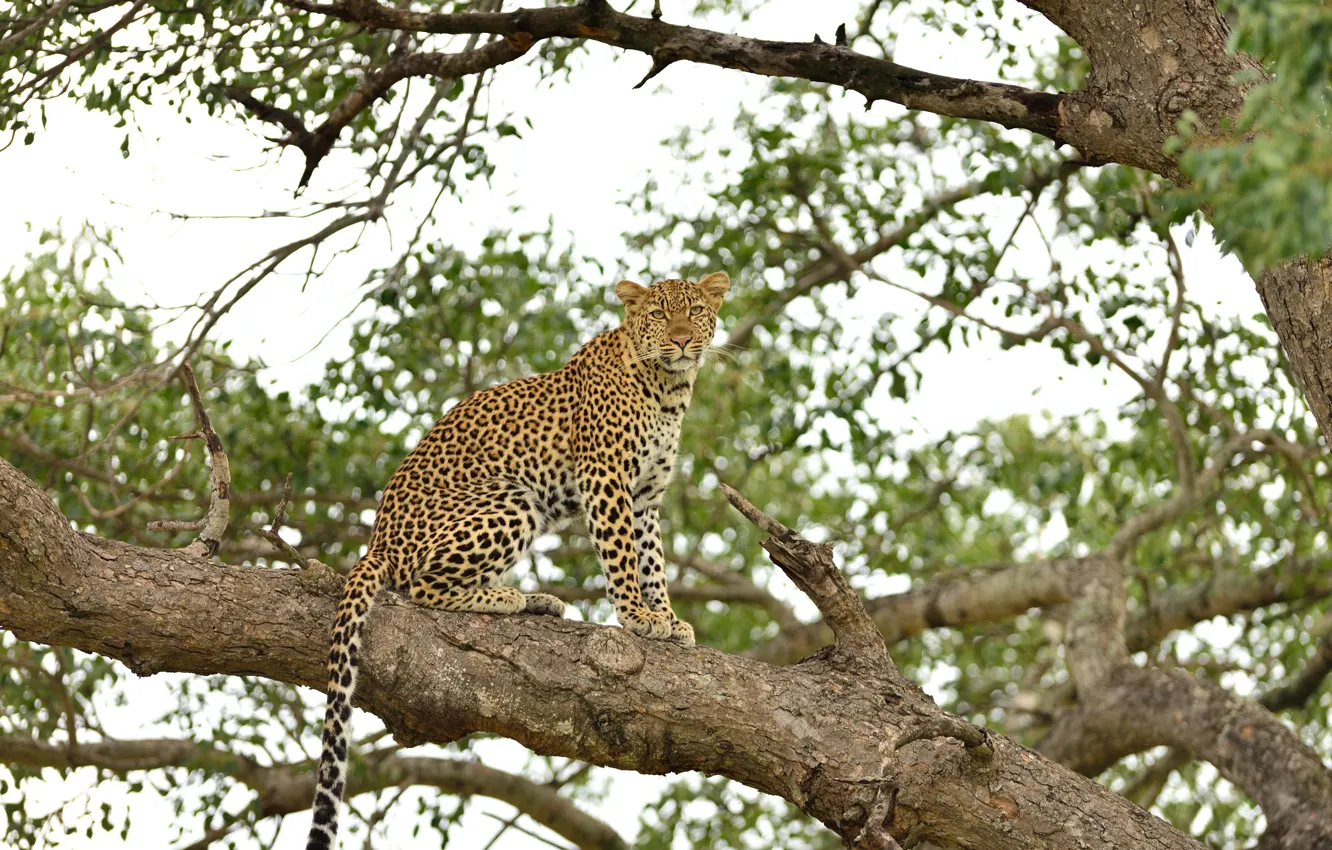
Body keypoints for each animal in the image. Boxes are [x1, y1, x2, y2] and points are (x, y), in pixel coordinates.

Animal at [305, 272, 731, 850]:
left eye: (695, 311)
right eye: (660, 315)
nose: (684, 340)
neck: (668, 388)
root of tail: (377, 542)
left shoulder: (646, 495)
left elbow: (652, 560)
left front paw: (666, 618)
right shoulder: (606, 479)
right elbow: (622, 556)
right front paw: (637, 617)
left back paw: (537, 602)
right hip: (513, 498)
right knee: (423, 587)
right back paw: (508, 599)